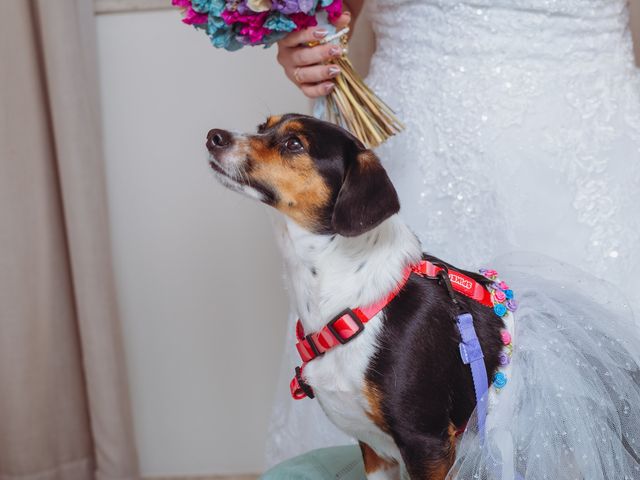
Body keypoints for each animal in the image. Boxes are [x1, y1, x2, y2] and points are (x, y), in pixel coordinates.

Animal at [208, 115, 508, 480]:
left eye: (294, 144)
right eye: (262, 127)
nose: (213, 137)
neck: (353, 306)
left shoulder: (427, 442)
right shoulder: (375, 450)